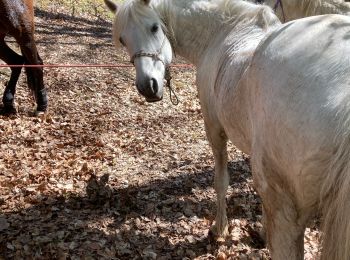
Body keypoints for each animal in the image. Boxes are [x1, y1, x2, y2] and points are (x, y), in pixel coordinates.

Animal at [105, 0, 350, 258]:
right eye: (122, 39)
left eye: (154, 27)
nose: (148, 87)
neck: (222, 32)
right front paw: (262, 231)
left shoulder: (214, 129)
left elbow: (220, 181)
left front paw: (219, 228)